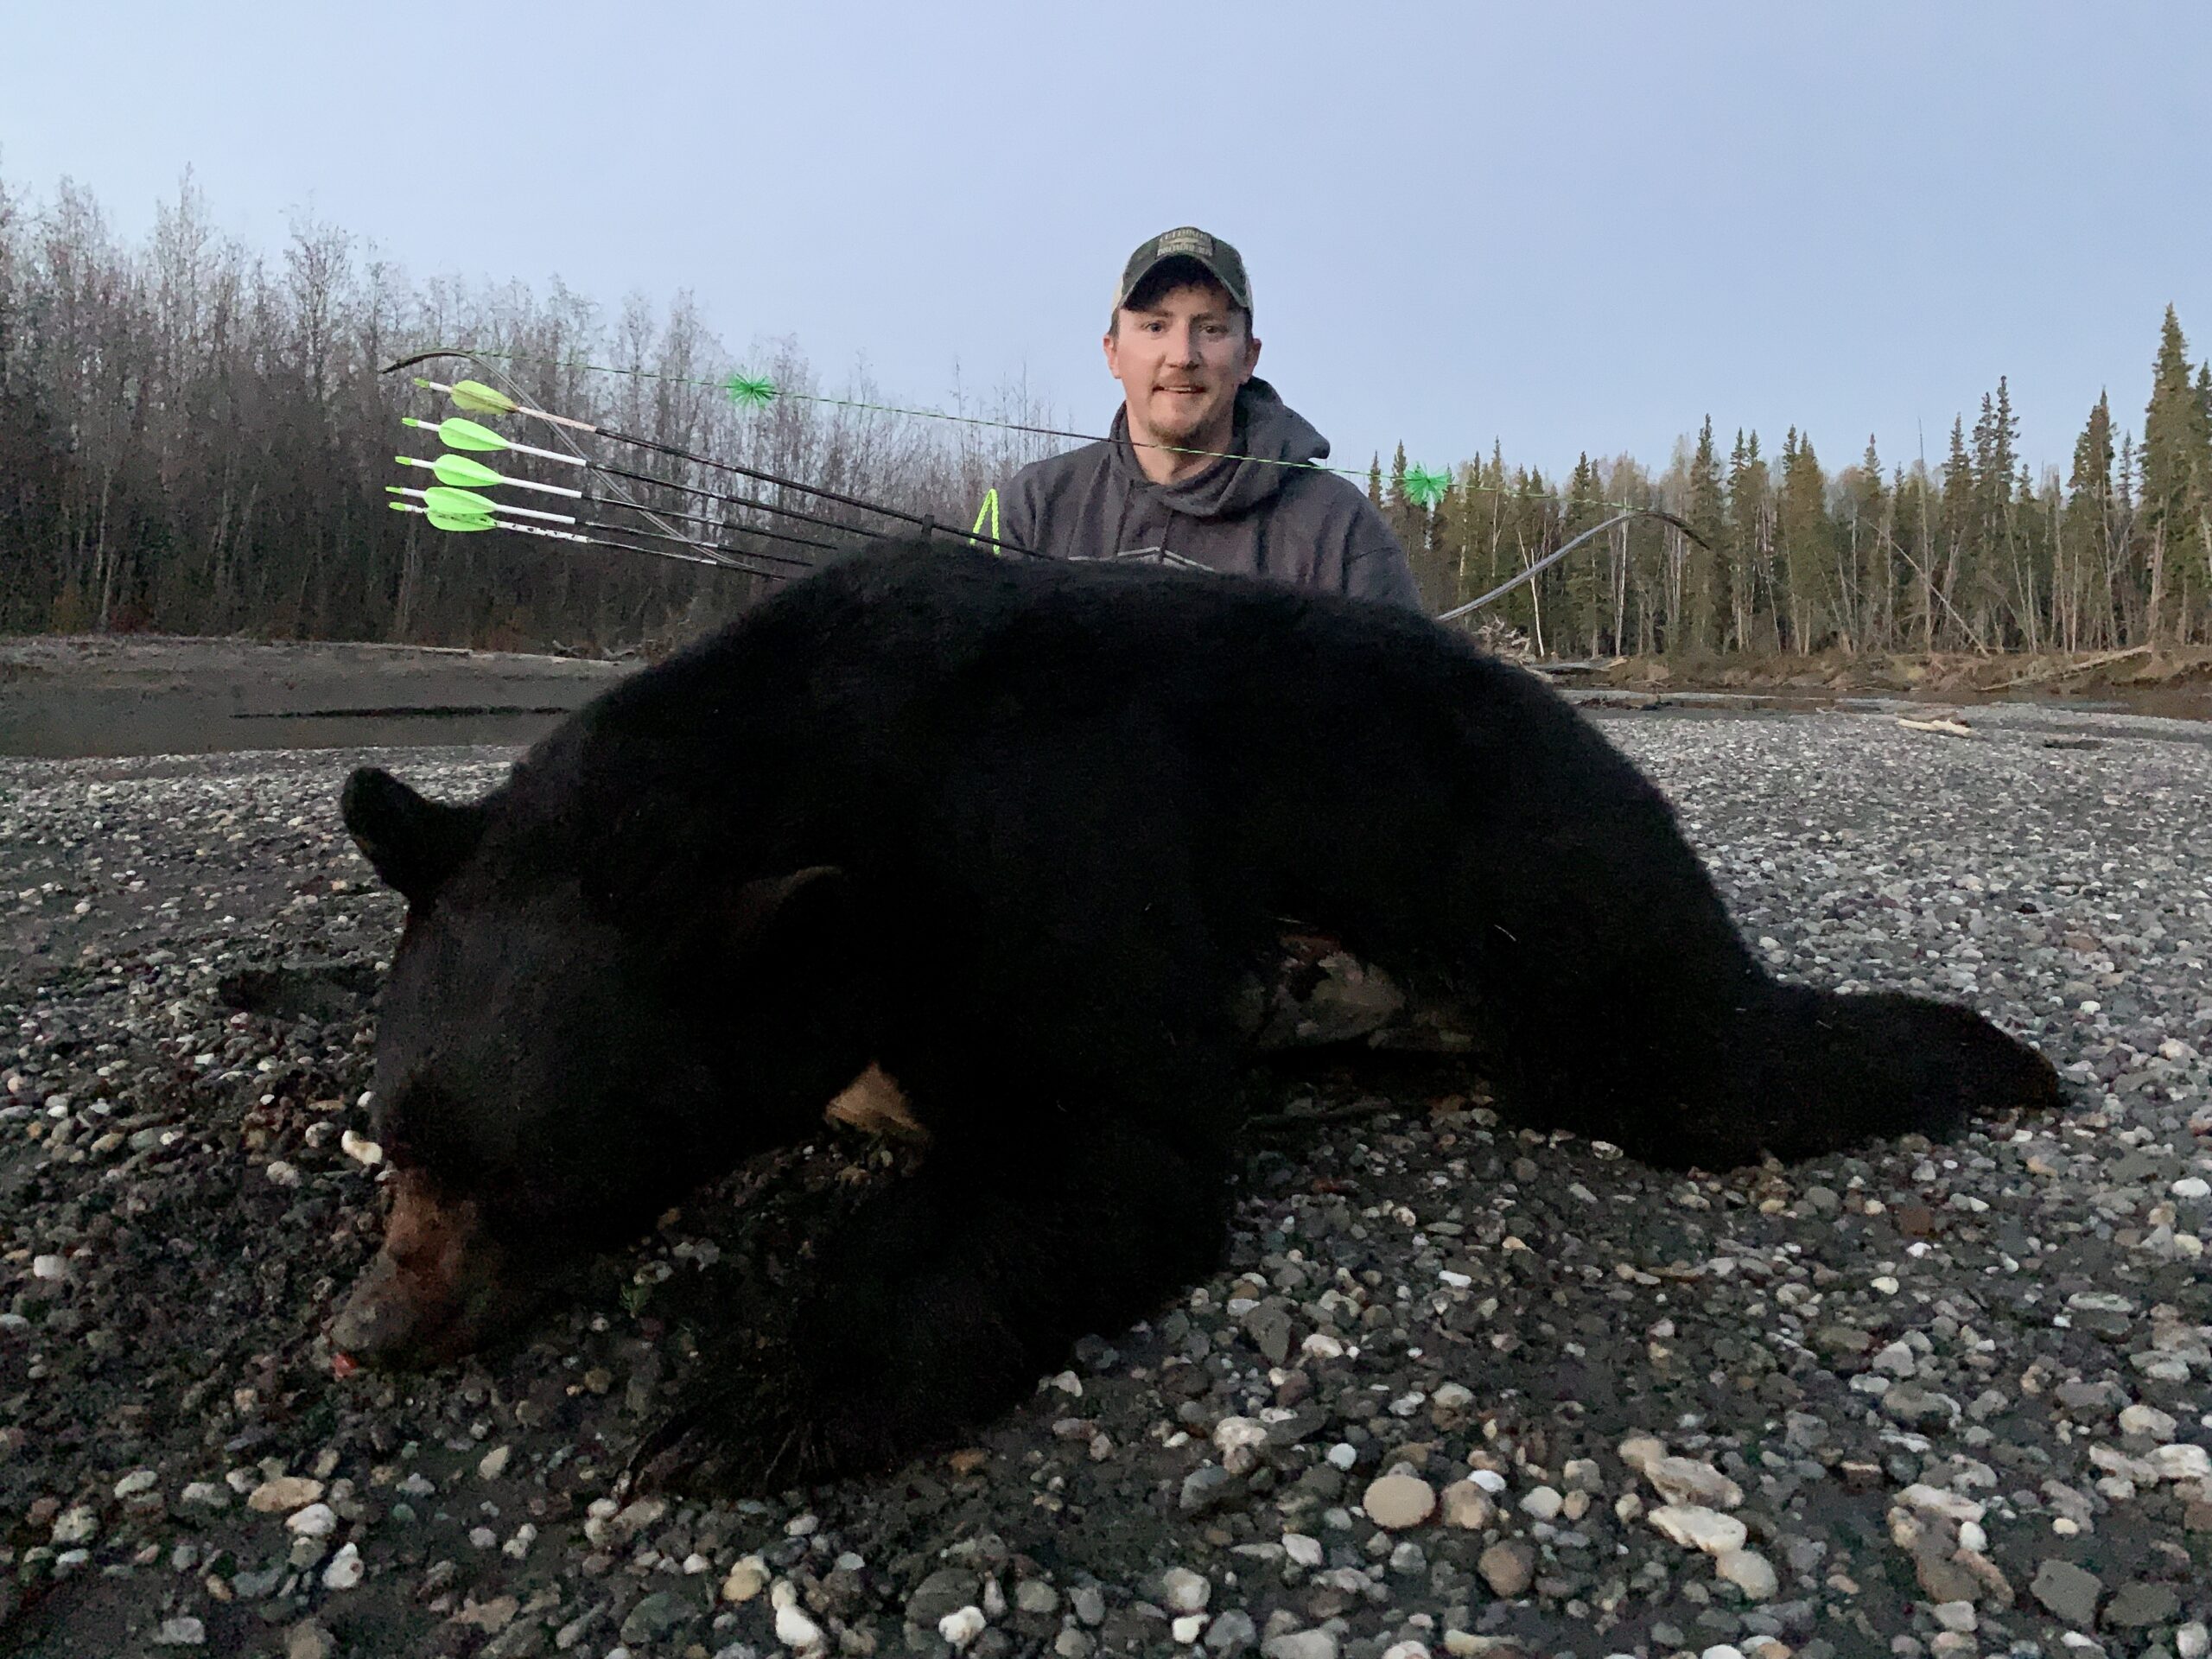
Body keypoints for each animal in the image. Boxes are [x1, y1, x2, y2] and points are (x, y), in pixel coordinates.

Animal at [330, 535, 2062, 1493]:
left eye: (535, 1183)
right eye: (396, 1142)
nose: (371, 1332)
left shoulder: (1045, 840)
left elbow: (1102, 1147)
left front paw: (750, 1403)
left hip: (1523, 849)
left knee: (1703, 1056)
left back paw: (1985, 1049)